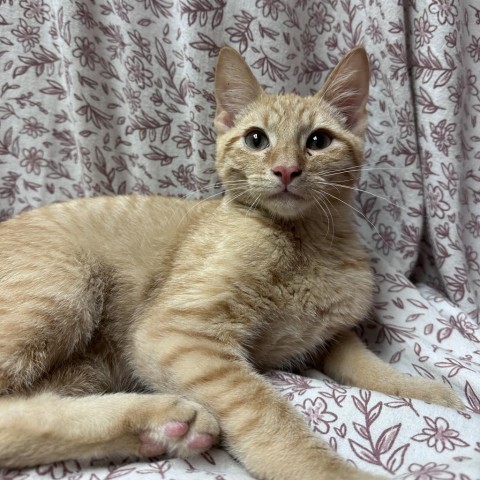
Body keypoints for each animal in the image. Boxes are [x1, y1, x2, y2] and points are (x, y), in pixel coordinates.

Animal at [0, 46, 462, 480]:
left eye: (318, 141)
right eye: (256, 139)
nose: (286, 169)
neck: (306, 243)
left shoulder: (332, 337)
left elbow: (369, 365)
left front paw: (429, 391)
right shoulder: (177, 332)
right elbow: (264, 410)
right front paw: (331, 472)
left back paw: (153, 429)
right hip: (66, 287)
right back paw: (158, 417)